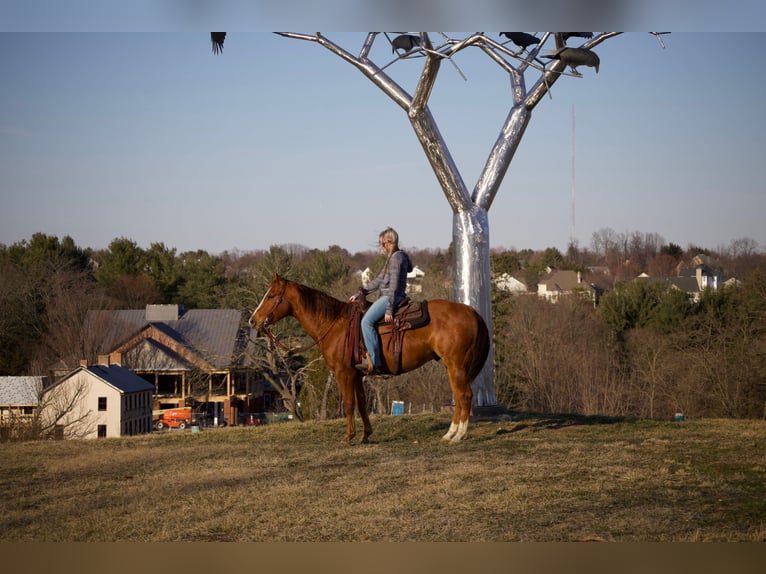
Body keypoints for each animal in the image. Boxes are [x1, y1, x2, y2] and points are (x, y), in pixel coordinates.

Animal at [252, 274, 492, 446]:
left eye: (271, 296)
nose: (253, 320)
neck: (334, 324)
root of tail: (471, 311)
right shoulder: (358, 374)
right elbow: (362, 404)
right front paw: (365, 435)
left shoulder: (344, 373)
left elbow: (349, 404)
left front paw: (348, 437)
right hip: (454, 368)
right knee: (459, 397)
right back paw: (450, 433)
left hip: (456, 366)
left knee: (464, 396)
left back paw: (458, 435)